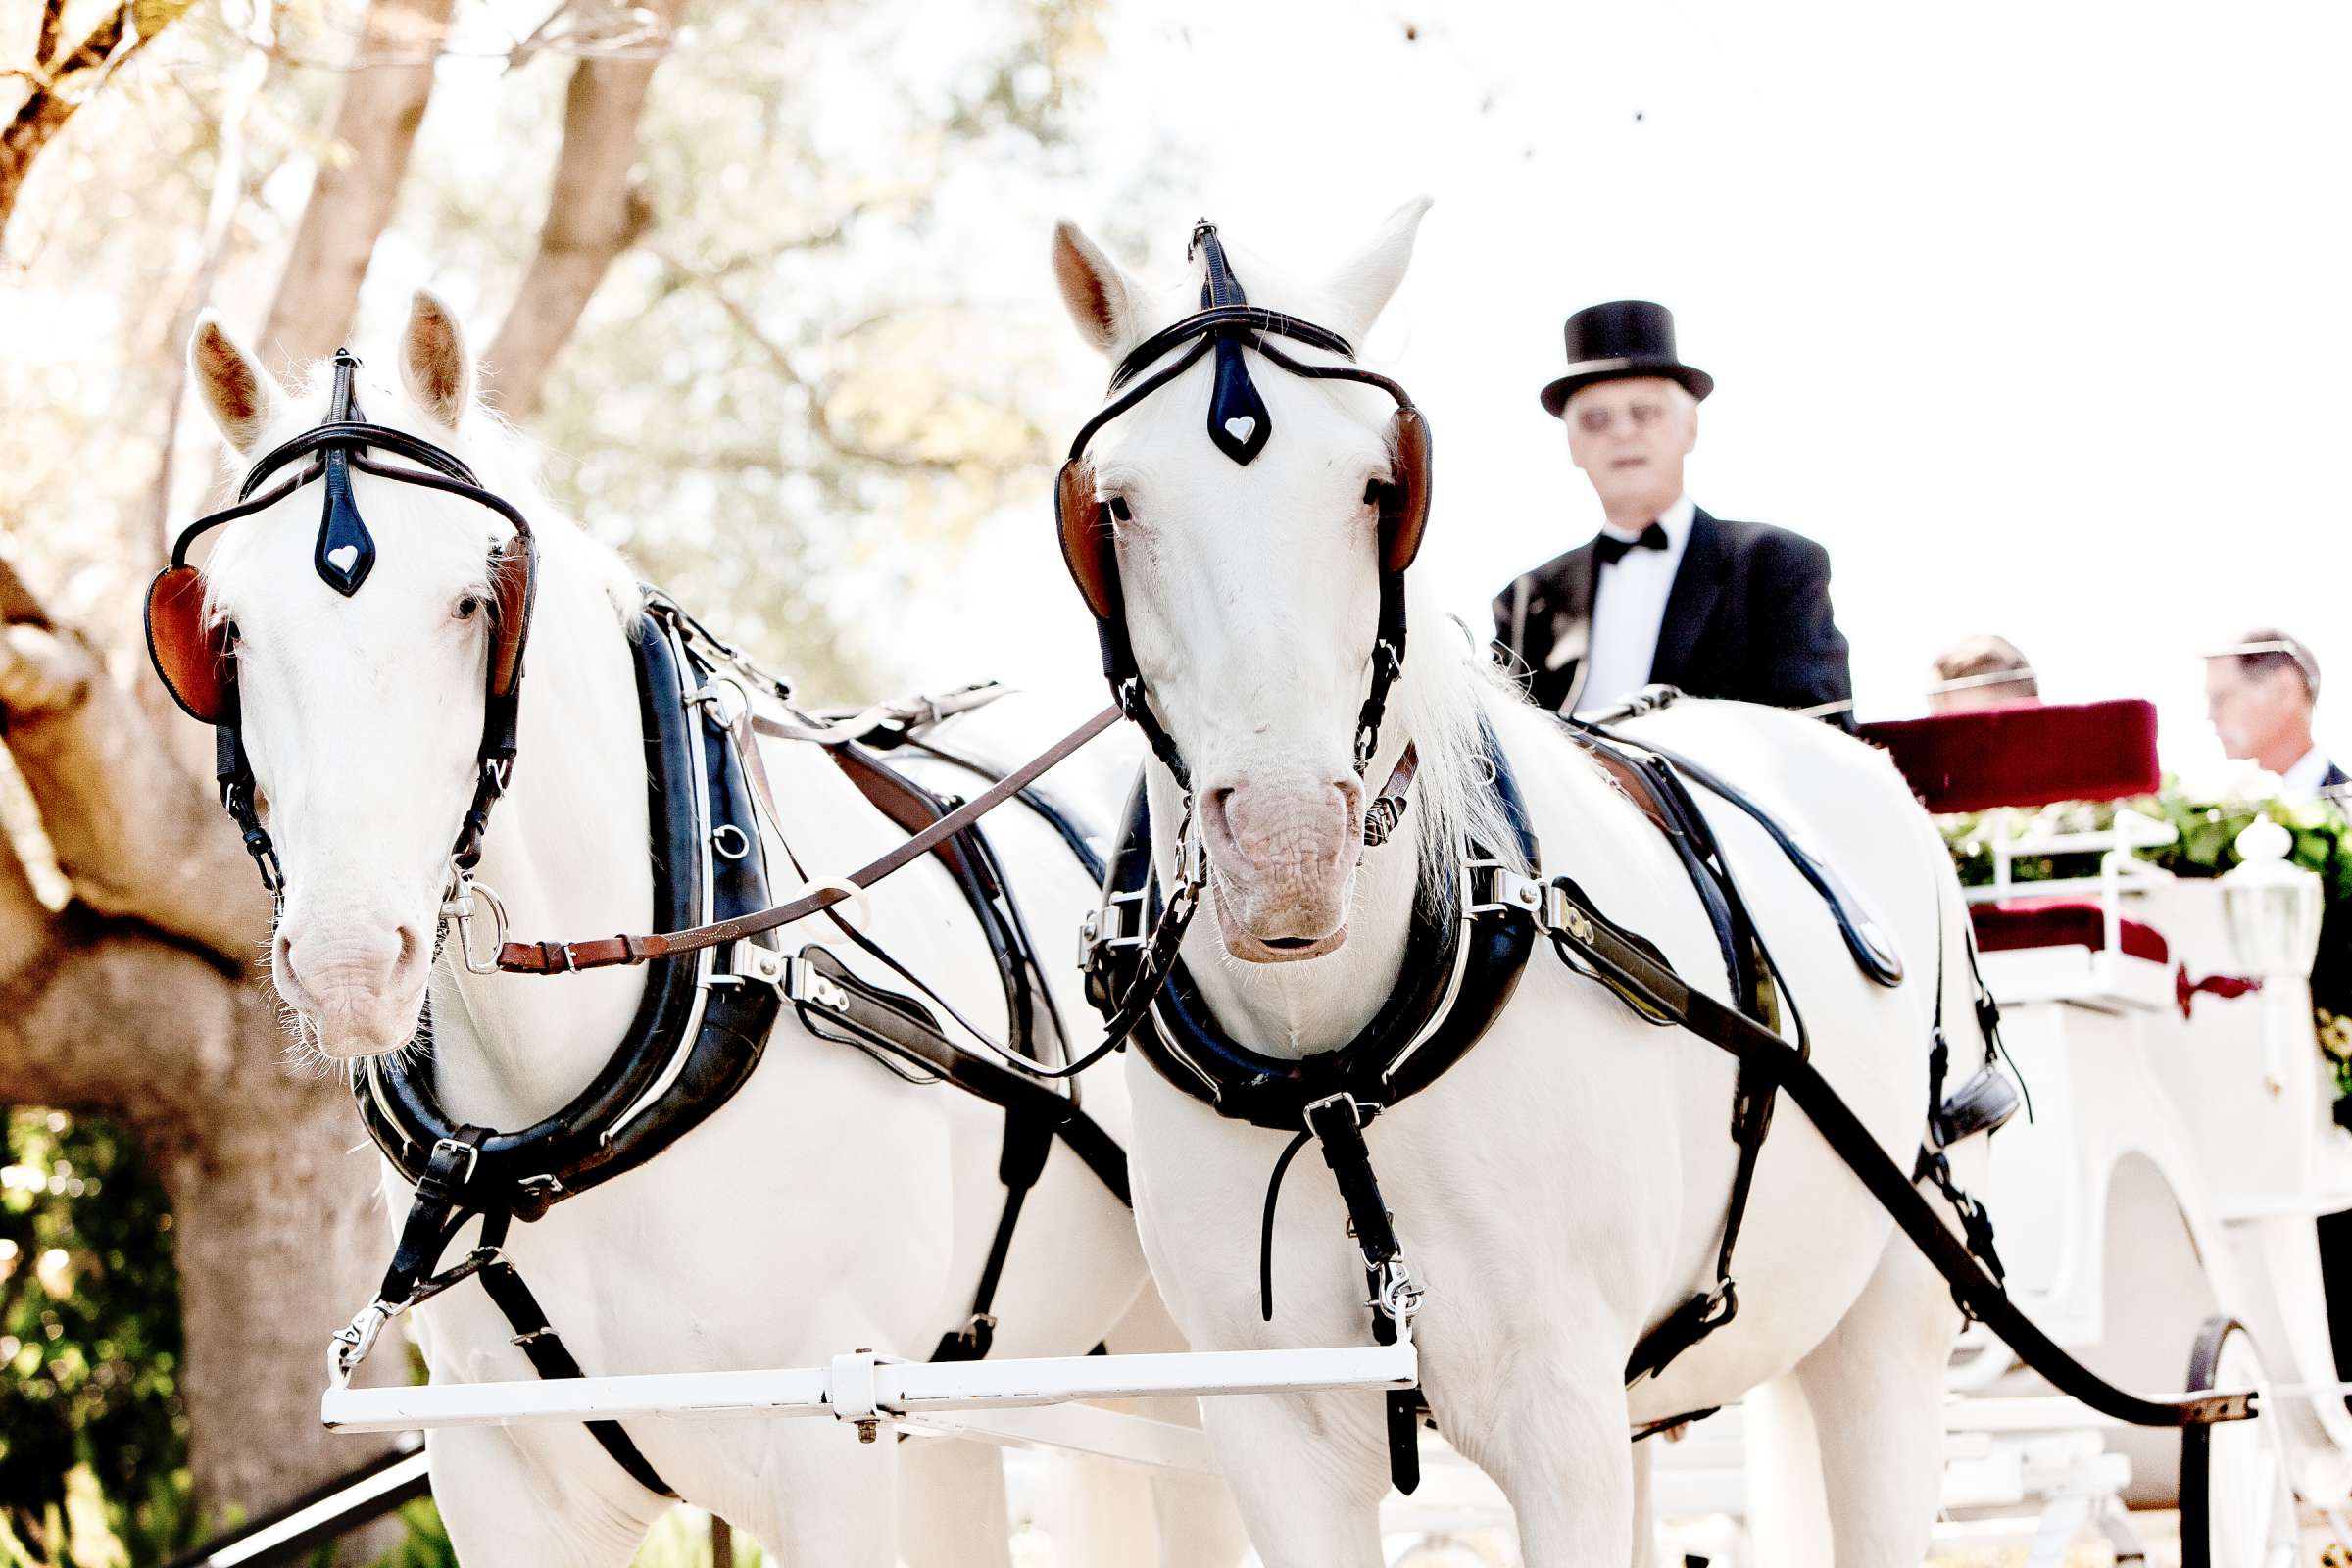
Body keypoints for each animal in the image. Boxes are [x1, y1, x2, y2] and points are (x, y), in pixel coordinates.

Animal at [183, 297, 1250, 1568]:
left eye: (477, 601)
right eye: (223, 630)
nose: (348, 962)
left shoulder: (836, 1448)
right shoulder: (502, 1480)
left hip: (1180, 1360)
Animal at [1049, 202, 1984, 1560]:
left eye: (1380, 485)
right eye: (1114, 506)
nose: (1286, 848)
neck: (1334, 1078)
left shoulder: (1563, 1425)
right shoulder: (1274, 1432)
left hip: (1885, 1324)